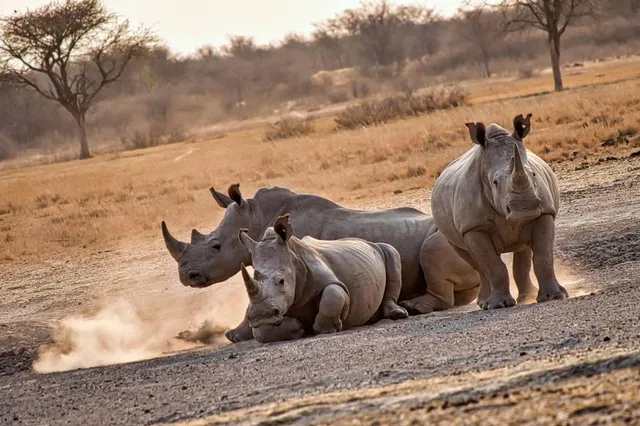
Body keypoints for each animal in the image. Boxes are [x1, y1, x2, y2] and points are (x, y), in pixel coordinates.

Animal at [237, 214, 407, 343]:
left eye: (281, 281)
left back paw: (397, 314)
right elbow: (261, 332)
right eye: (254, 278)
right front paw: (296, 328)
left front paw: (326, 329)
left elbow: (333, 294)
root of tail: (364, 241)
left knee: (391, 251)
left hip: (381, 248)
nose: (261, 316)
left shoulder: (333, 281)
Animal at [430, 113, 569, 310]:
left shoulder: (544, 213)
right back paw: (484, 303)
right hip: (452, 232)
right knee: (472, 260)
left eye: (533, 175)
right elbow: (492, 265)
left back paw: (527, 296)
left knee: (523, 249)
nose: (524, 208)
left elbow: (543, 257)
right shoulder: (473, 227)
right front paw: (497, 305)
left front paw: (555, 296)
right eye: (495, 182)